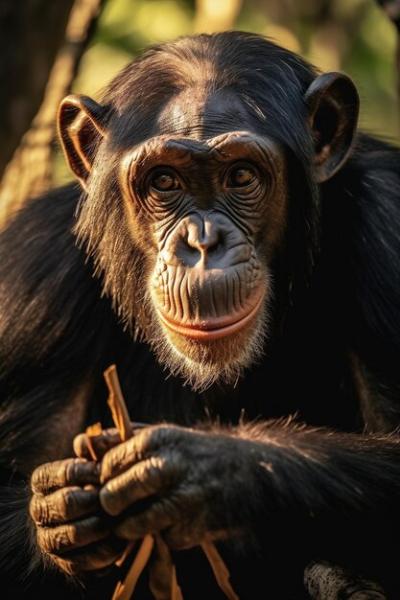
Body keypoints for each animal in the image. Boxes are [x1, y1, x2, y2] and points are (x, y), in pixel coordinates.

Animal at [0, 29, 400, 600]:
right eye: (165, 181)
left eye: (241, 175)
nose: (203, 242)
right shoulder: (30, 282)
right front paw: (62, 512)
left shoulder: (389, 223)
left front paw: (206, 468)